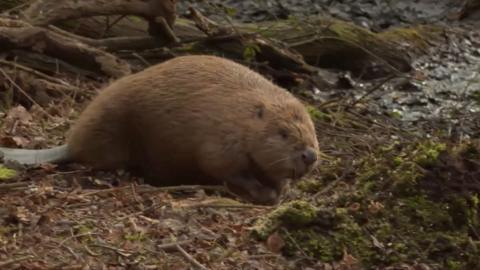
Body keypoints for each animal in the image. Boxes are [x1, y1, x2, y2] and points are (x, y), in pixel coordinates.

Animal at [2, 54, 322, 205]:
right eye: (283, 133)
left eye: (311, 129)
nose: (309, 156)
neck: (243, 116)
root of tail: (69, 145)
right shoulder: (221, 140)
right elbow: (223, 168)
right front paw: (264, 193)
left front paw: (280, 190)